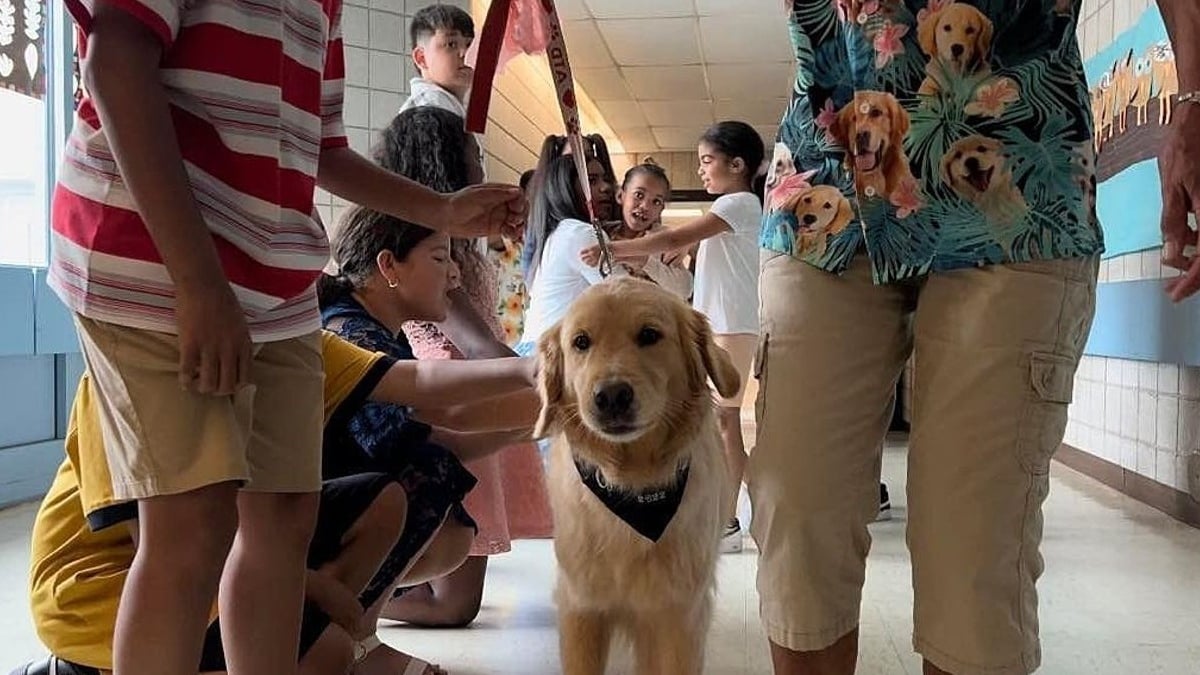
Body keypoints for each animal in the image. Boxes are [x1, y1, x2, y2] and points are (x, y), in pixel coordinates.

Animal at [537, 276, 739, 667]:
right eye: (581, 342)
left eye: (649, 334)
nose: (612, 396)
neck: (632, 486)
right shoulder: (581, 608)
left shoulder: (679, 615)